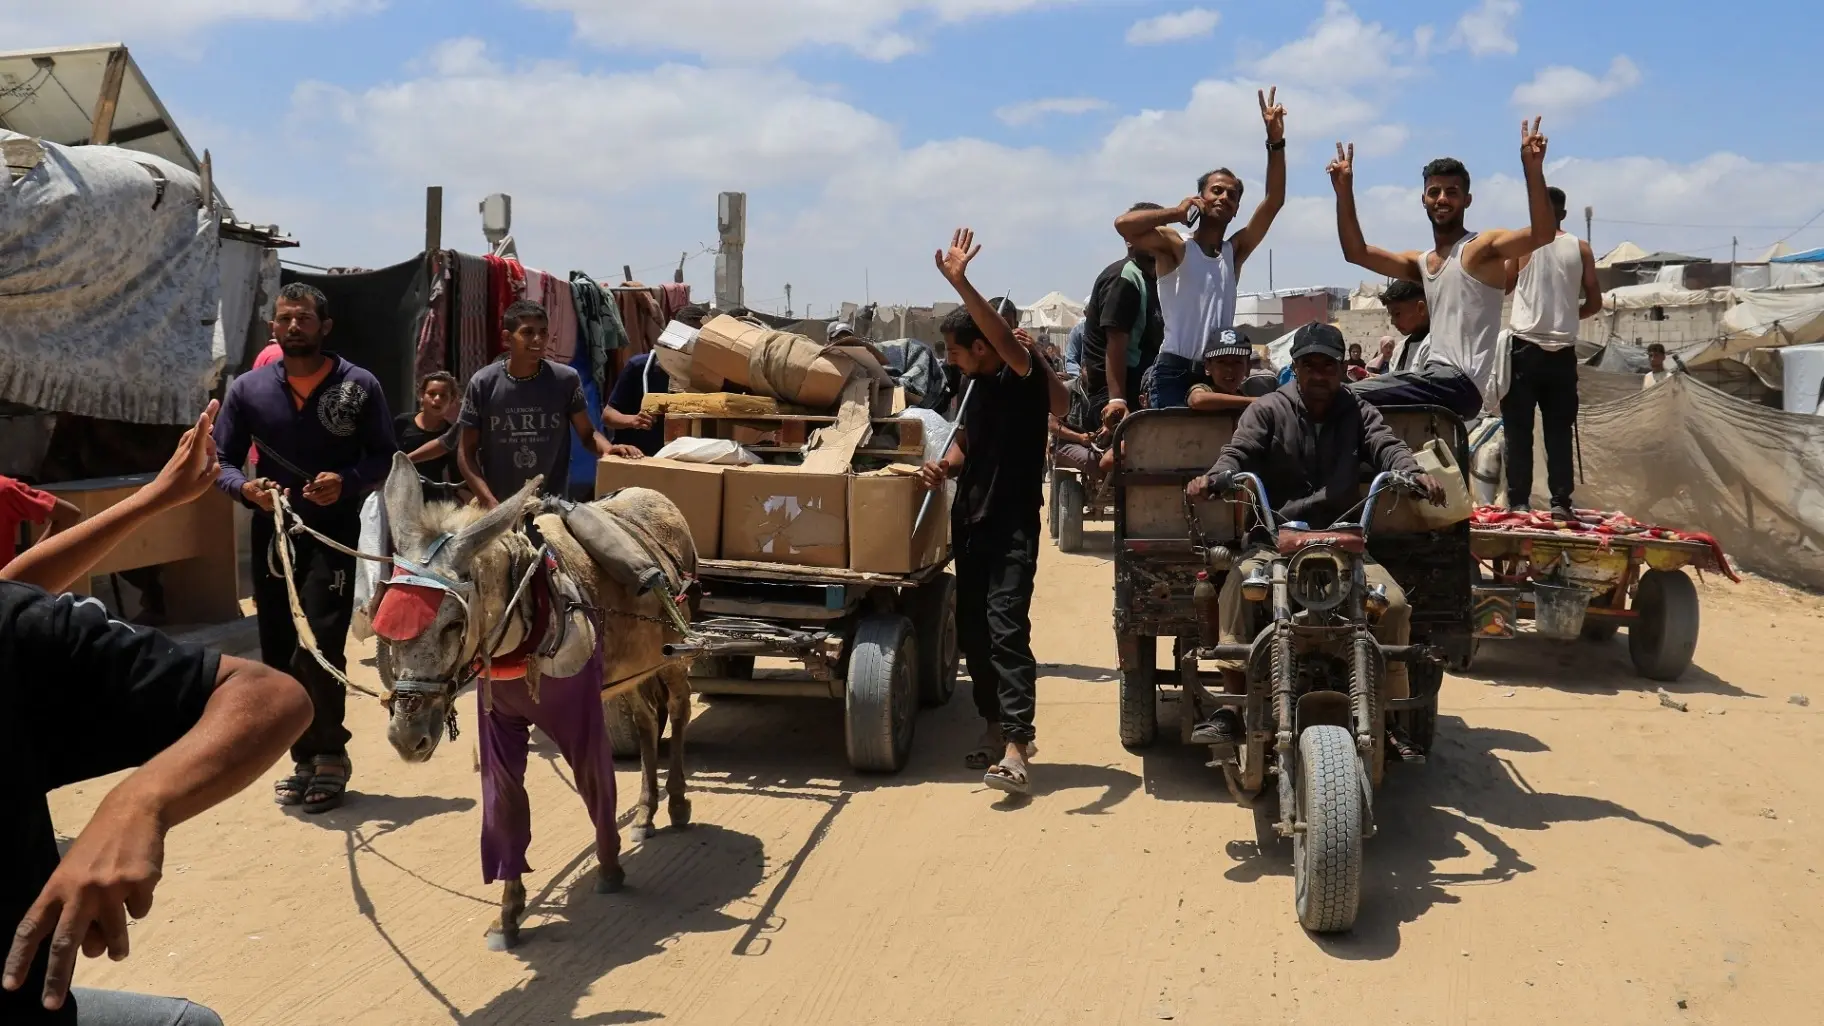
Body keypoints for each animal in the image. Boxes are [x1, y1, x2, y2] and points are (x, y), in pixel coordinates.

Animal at [369, 453, 695, 949]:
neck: (528, 624)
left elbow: (595, 784)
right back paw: (645, 812)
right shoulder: (500, 721)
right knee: (643, 723)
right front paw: (507, 914)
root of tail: (652, 491)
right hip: (631, 671)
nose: (407, 737)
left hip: (673, 655)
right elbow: (505, 805)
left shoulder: (581, 714)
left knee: (677, 712)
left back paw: (676, 803)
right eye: (385, 622)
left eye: (452, 625)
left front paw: (610, 868)